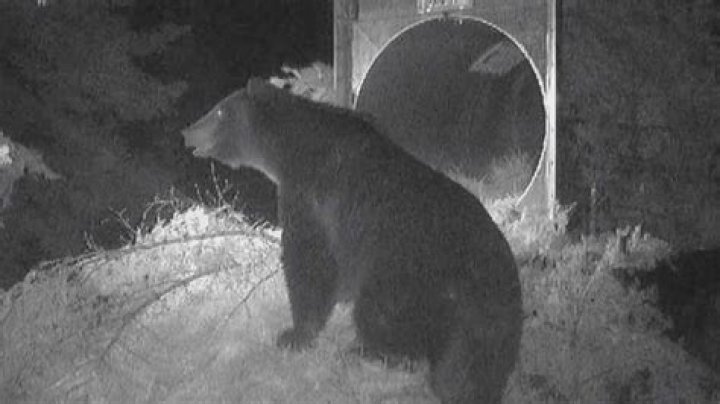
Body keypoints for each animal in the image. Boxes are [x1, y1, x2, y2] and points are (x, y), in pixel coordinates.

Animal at [181, 77, 522, 404]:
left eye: (219, 111)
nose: (187, 132)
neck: (289, 150)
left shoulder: (311, 196)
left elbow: (309, 260)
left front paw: (294, 334)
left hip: (407, 276)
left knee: (380, 315)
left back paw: (364, 350)